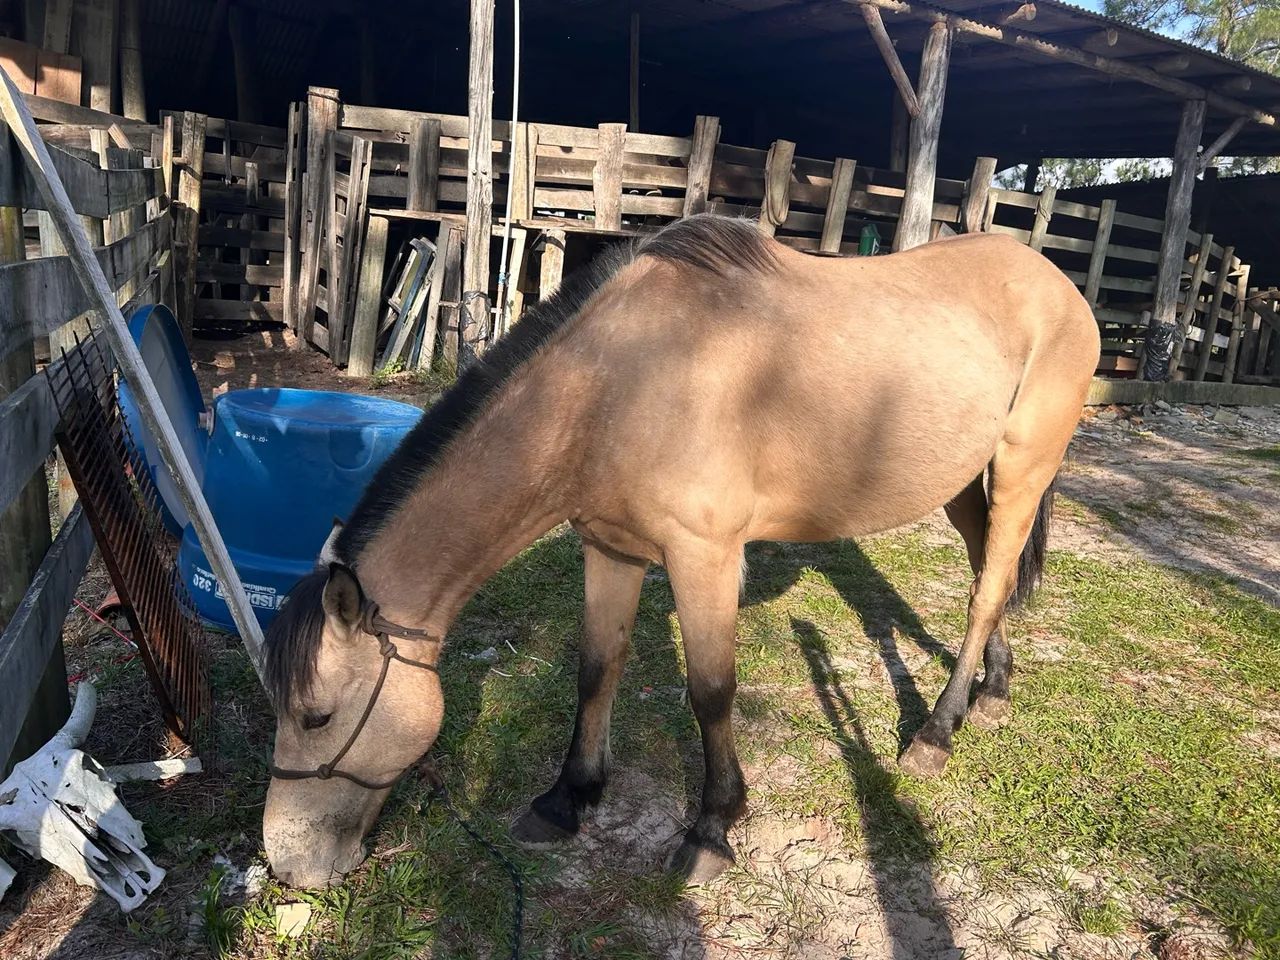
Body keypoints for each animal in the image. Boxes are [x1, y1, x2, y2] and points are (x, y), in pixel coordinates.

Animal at [261, 214, 1100, 888]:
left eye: (315, 716)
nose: (287, 865)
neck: (616, 383)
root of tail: (1056, 280)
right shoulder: (610, 549)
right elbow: (596, 669)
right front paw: (569, 798)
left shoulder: (705, 557)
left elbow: (711, 691)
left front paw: (712, 829)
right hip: (960, 481)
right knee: (990, 569)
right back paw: (994, 686)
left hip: (1025, 465)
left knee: (986, 590)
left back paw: (934, 734)